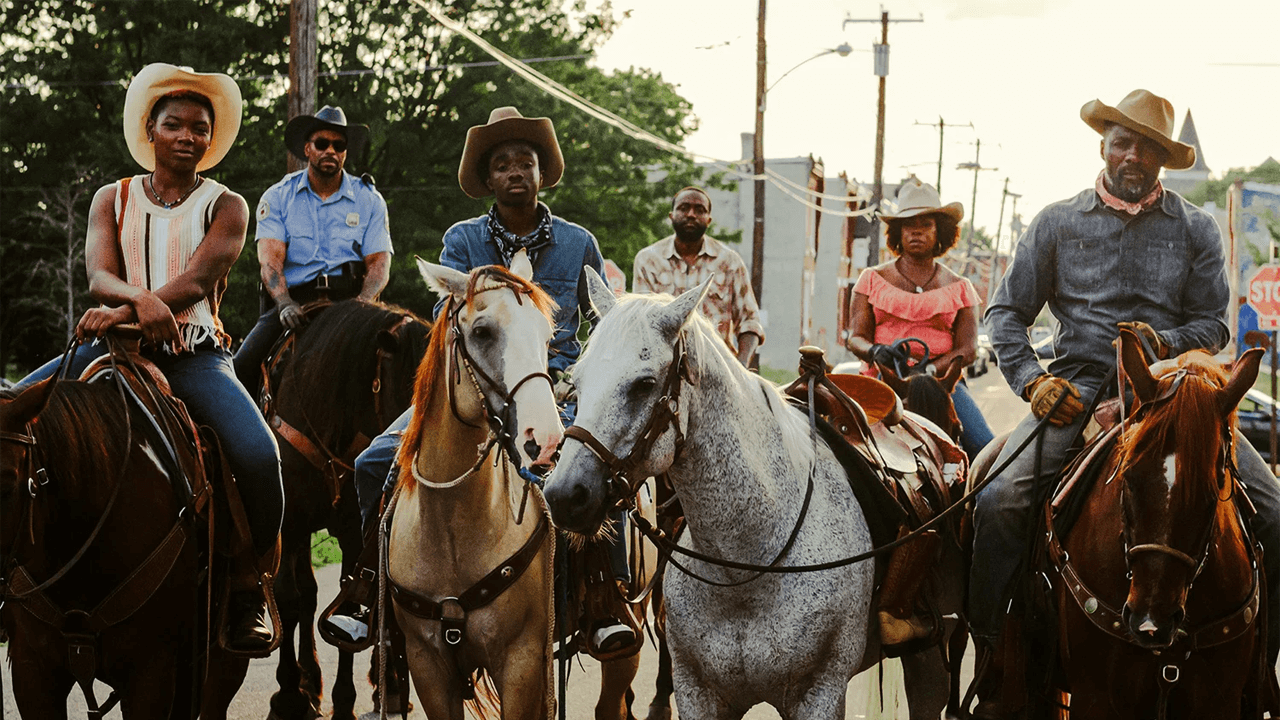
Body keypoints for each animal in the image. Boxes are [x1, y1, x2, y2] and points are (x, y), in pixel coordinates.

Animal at [540, 270, 890, 717]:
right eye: (577, 381)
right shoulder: (699, 692)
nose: (564, 495)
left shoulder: (821, 692)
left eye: (644, 384)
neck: (745, 568)